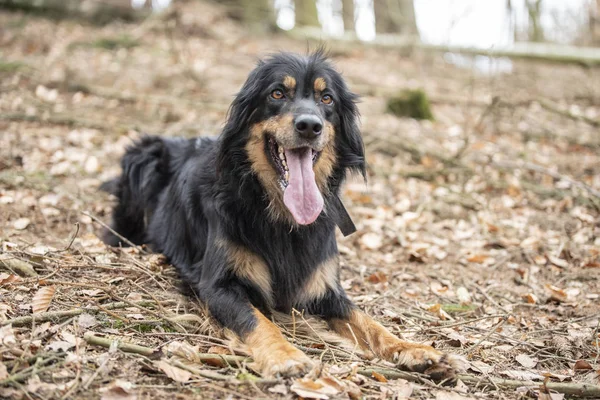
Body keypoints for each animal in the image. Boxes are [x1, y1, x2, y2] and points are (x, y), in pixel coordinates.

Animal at [102, 51, 464, 380]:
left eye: (326, 98)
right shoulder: (218, 286)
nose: (309, 126)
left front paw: (414, 349)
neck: (279, 216)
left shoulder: (327, 290)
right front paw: (285, 355)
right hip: (143, 157)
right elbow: (257, 320)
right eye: (277, 93)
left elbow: (369, 321)